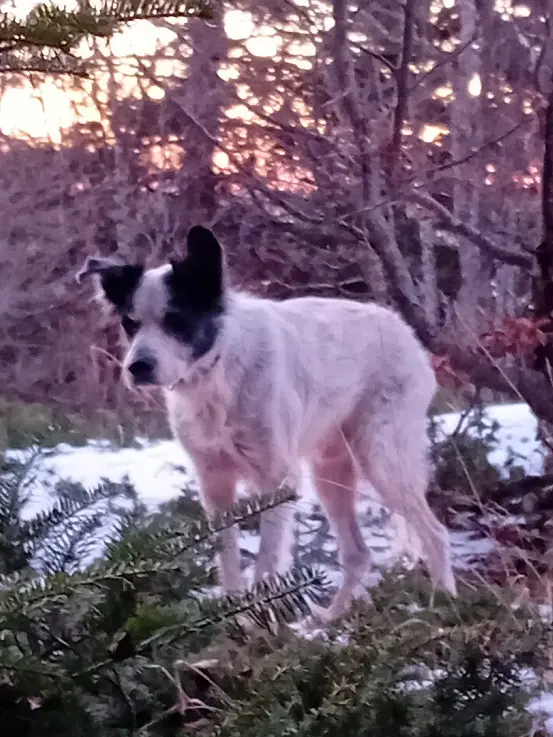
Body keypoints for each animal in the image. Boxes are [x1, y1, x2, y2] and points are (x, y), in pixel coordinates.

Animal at [78, 224, 458, 620]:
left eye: (176, 320)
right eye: (130, 324)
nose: (137, 367)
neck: (216, 371)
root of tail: (403, 330)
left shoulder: (277, 480)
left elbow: (265, 563)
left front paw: (261, 621)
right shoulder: (215, 484)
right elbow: (228, 558)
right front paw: (234, 619)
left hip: (381, 457)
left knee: (434, 534)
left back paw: (445, 604)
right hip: (330, 472)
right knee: (357, 552)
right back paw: (329, 620)